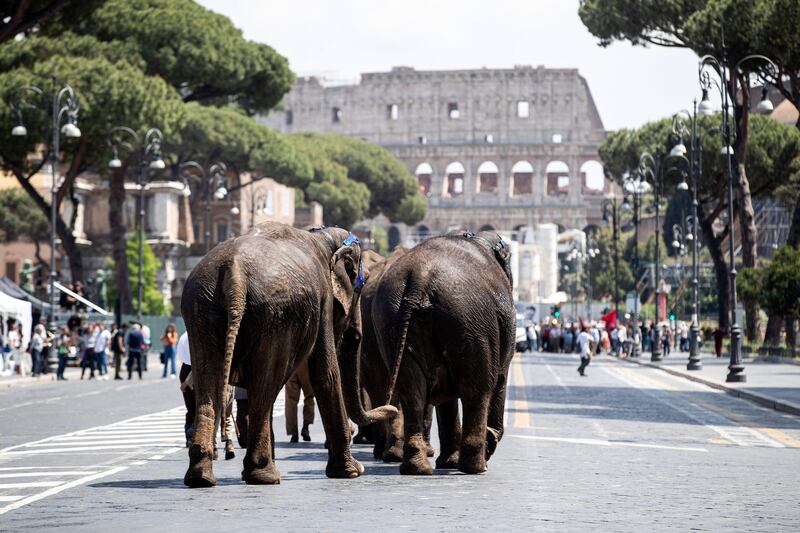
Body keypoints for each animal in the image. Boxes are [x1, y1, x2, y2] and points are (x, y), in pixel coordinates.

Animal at [180, 220, 396, 486]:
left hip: (201, 308)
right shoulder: (323, 298)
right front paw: (352, 471)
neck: (321, 236)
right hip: (277, 314)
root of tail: (235, 273)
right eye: (360, 284)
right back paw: (264, 475)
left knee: (210, 384)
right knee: (266, 385)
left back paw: (201, 477)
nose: (392, 410)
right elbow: (326, 373)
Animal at [374, 229, 516, 474]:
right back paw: (475, 467)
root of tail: (419, 278)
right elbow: (500, 379)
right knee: (478, 389)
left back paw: (416, 467)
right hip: (470, 323)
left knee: (411, 392)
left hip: (390, 322)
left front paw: (448, 462)